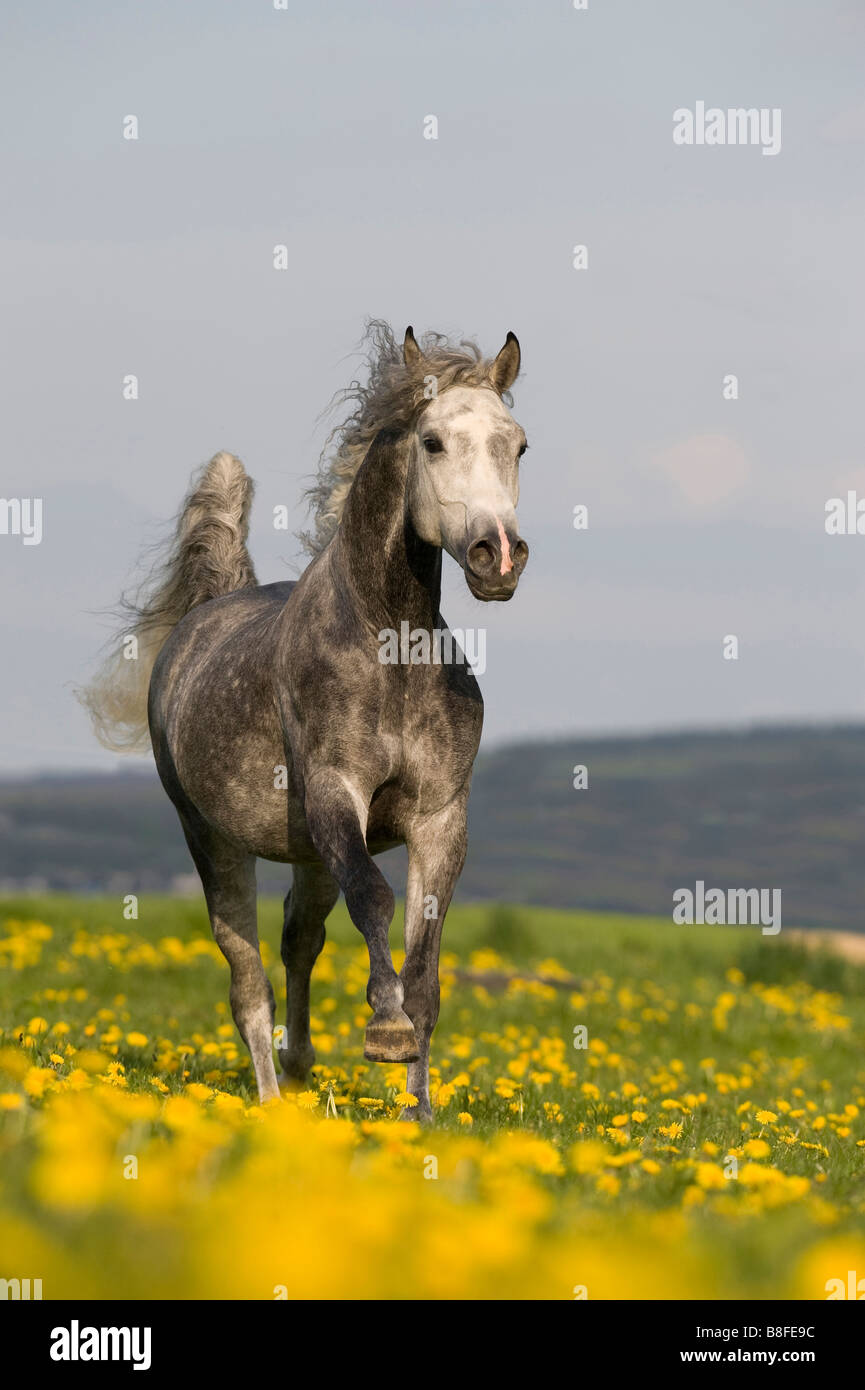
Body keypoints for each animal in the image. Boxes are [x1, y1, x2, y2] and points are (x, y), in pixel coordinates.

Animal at [83, 321, 529, 1117]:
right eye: (432, 442)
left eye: (519, 445)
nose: (498, 556)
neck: (390, 650)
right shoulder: (333, 793)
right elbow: (375, 899)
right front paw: (384, 1031)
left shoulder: (441, 817)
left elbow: (424, 965)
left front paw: (418, 1113)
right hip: (214, 839)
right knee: (246, 974)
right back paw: (267, 1100)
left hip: (309, 852)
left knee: (299, 937)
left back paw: (298, 1068)